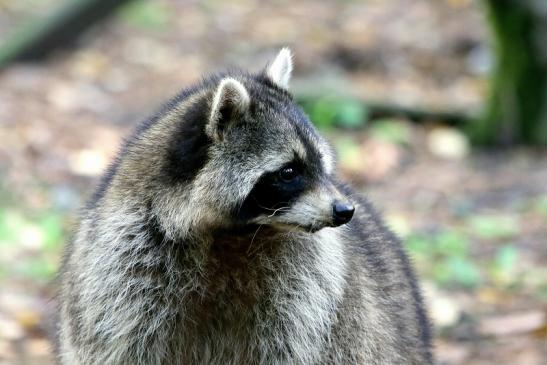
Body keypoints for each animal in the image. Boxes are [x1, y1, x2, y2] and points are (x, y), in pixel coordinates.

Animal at [56, 49, 432, 364]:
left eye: (321, 163)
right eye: (289, 171)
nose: (344, 210)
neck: (231, 232)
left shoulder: (307, 291)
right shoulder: (123, 266)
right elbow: (121, 342)